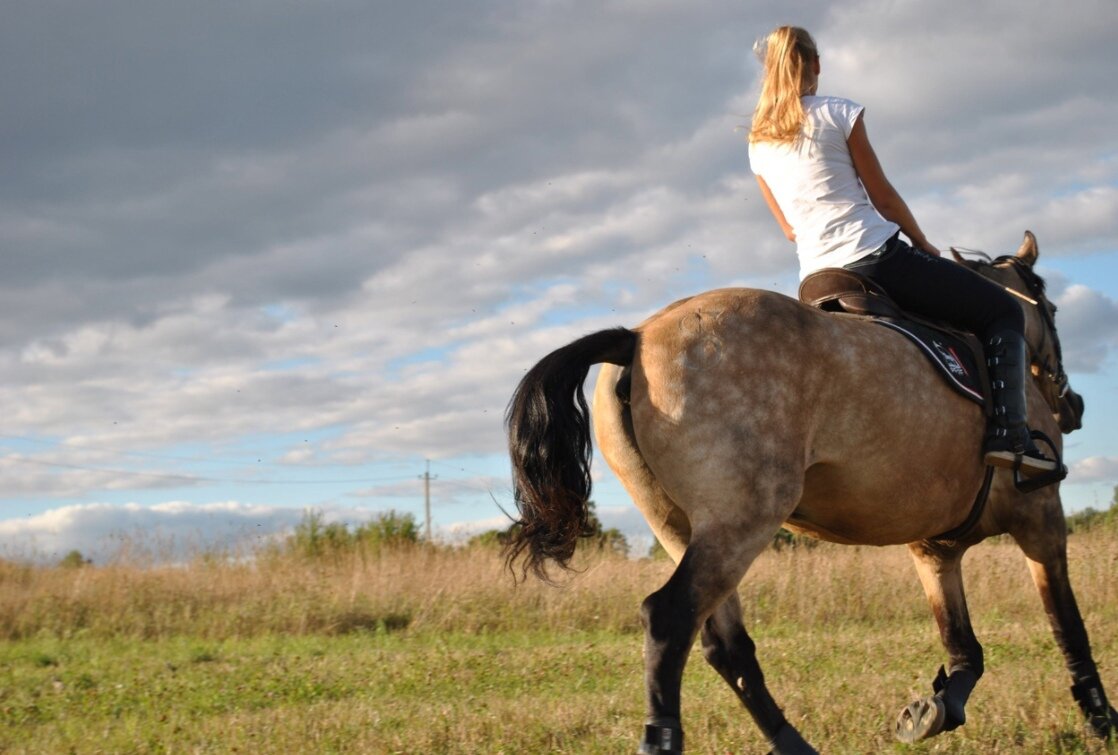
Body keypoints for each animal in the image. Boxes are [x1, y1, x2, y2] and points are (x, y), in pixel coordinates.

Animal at [505, 233, 1109, 751]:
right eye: (1051, 311)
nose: (1075, 406)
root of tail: (635, 339)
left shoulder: (932, 549)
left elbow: (963, 648)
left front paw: (935, 709)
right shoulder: (1041, 517)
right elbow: (1067, 625)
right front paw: (1102, 719)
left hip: (681, 528)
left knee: (723, 643)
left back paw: (792, 743)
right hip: (741, 522)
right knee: (669, 619)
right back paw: (664, 739)